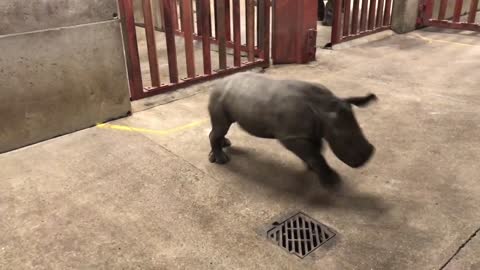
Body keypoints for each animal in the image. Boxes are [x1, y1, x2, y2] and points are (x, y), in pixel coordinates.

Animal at [208, 71, 376, 186]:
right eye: (346, 140)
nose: (368, 157)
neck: (323, 109)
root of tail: (217, 83)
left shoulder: (311, 131)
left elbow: (316, 151)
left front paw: (313, 169)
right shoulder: (291, 136)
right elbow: (314, 155)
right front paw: (332, 182)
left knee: (222, 127)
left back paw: (222, 147)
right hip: (219, 97)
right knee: (221, 126)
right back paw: (222, 160)